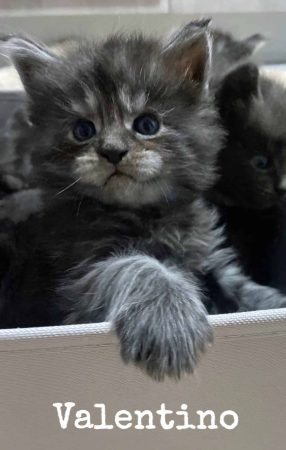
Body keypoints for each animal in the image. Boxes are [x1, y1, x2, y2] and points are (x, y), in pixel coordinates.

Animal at [1, 22, 284, 380]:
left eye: (147, 125)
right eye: (83, 130)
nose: (112, 151)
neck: (149, 213)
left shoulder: (208, 255)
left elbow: (238, 283)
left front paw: (270, 301)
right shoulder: (78, 272)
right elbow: (136, 265)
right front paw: (170, 323)